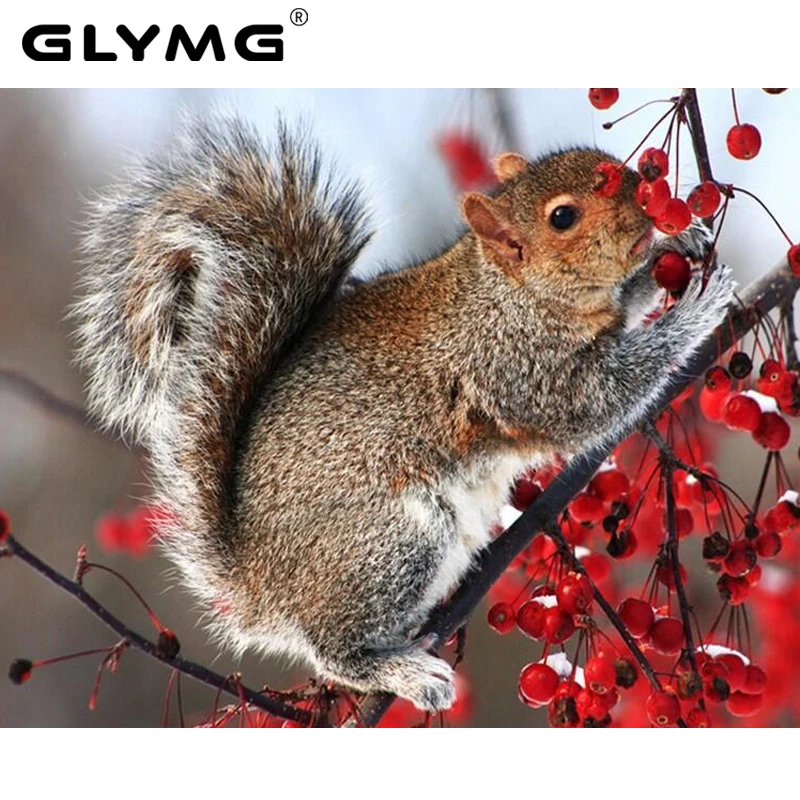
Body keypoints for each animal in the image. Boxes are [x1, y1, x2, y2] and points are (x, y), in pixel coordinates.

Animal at [73, 114, 735, 712]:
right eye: (563, 217)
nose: (649, 202)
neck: (510, 291)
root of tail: (259, 584)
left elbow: (630, 302)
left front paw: (683, 246)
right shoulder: (518, 370)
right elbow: (602, 398)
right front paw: (696, 310)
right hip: (395, 539)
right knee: (331, 649)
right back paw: (404, 673)